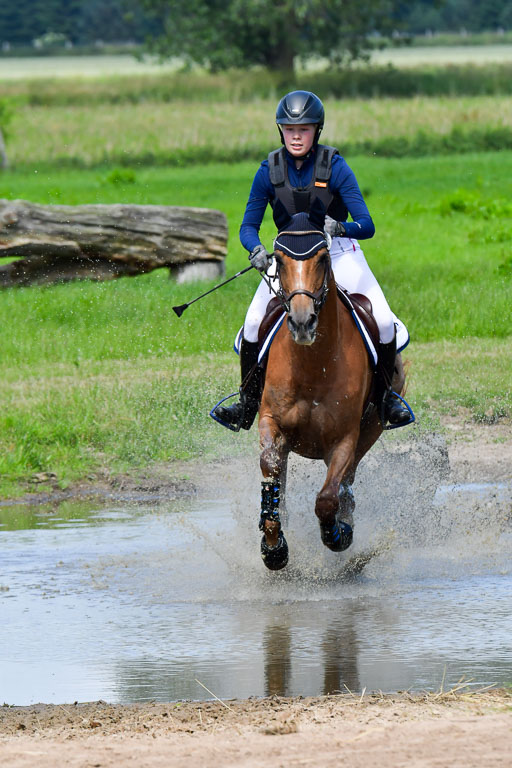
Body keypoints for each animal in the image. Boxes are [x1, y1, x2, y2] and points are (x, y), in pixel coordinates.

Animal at [257, 198, 405, 570]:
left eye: (323, 258)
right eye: (278, 260)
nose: (302, 321)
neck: (313, 366)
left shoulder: (344, 438)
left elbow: (327, 499)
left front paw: (337, 535)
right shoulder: (271, 422)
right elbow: (271, 472)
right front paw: (274, 548)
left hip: (372, 428)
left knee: (346, 484)